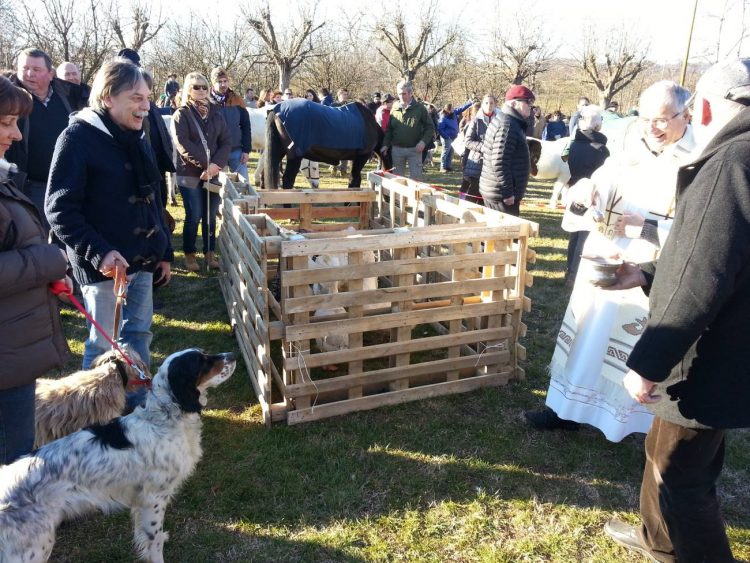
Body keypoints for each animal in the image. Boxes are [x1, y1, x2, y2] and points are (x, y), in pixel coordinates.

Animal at [0, 348, 236, 563]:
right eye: (202, 361)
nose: (233, 355)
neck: (163, 419)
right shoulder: (154, 499)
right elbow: (154, 541)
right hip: (34, 546)